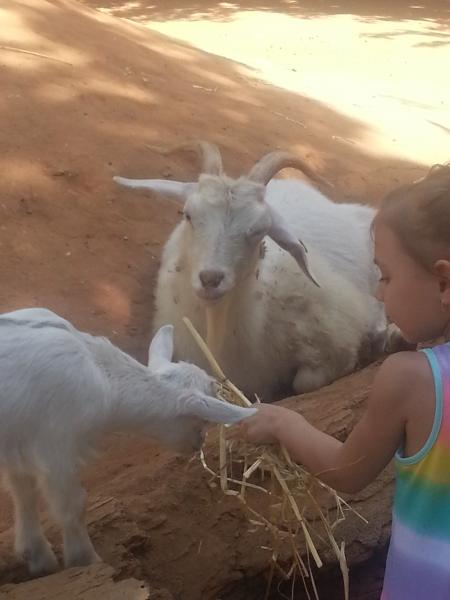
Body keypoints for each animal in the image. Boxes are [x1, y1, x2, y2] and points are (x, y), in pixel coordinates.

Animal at [0, 310, 253, 576]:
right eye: (202, 420)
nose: (198, 444)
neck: (105, 378)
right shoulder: (58, 448)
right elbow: (73, 505)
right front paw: (86, 560)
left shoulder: (20, 443)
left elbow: (23, 493)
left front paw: (37, 556)